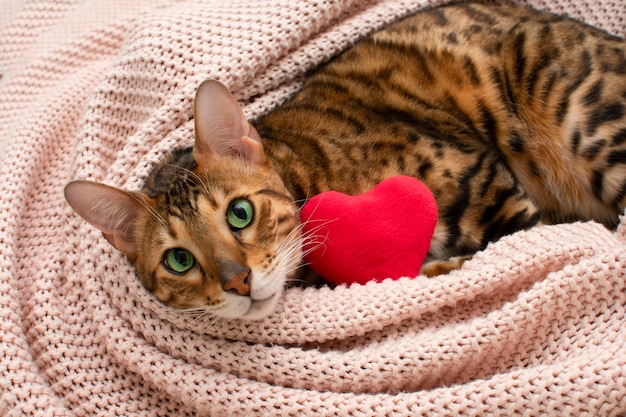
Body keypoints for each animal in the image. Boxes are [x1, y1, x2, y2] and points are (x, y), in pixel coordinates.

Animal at [64, 4, 624, 318]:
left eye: (239, 213)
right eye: (178, 260)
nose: (237, 281)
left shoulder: (489, 184)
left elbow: (518, 242)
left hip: (575, 105)